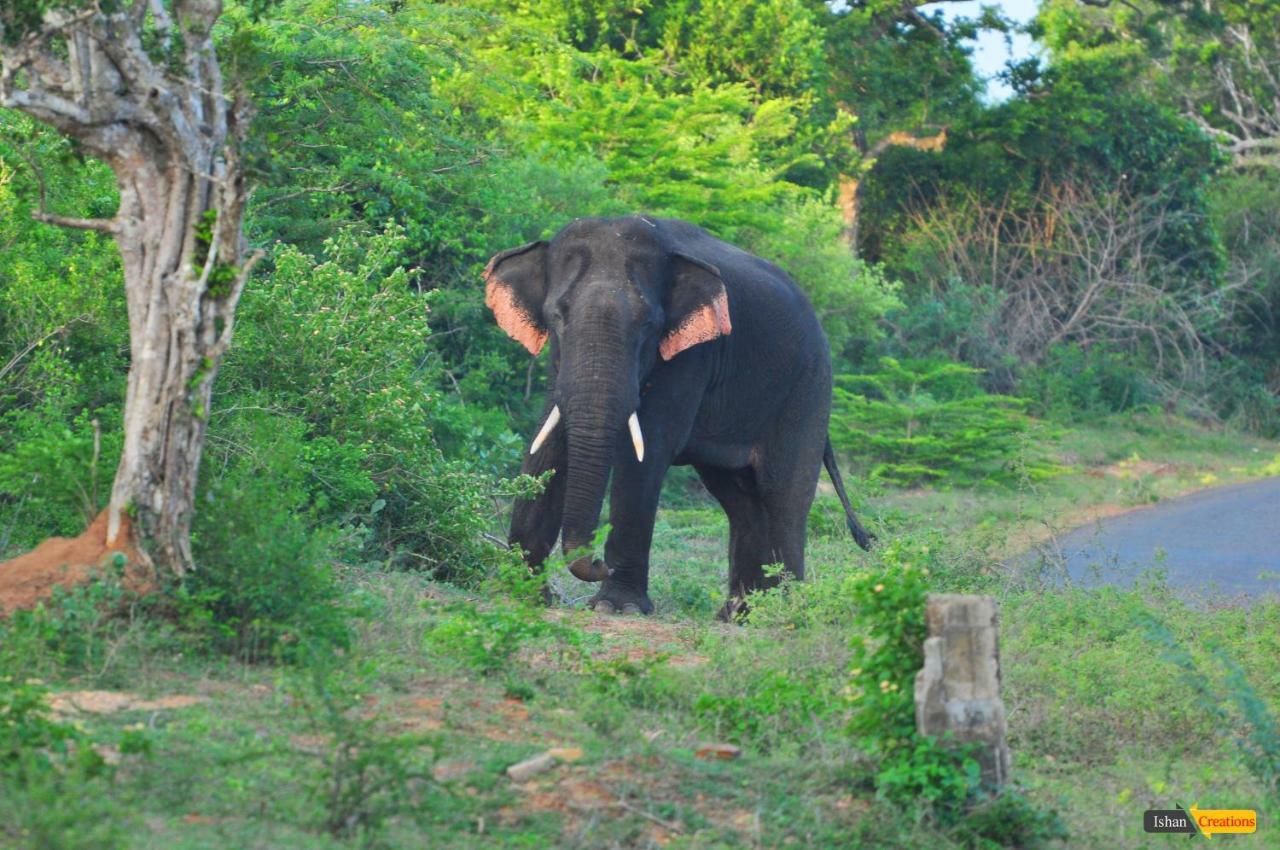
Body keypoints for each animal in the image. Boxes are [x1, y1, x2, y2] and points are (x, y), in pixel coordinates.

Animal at [481, 213, 870, 617]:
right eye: (556, 316)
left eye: (648, 325)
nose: (599, 563)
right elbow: (548, 443)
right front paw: (518, 594)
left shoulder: (691, 356)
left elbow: (646, 450)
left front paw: (617, 607)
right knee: (742, 501)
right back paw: (739, 615)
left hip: (808, 390)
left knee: (784, 497)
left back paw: (782, 612)